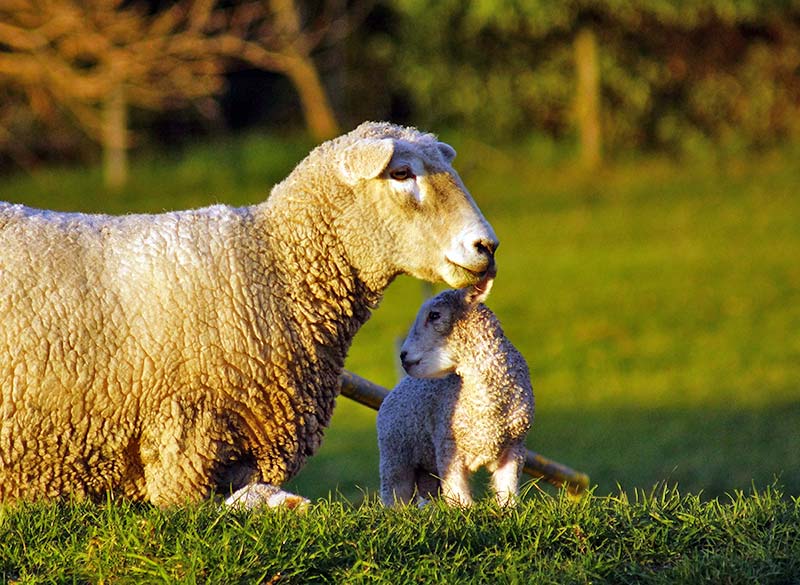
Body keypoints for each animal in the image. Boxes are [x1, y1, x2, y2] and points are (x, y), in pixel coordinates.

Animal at [377, 279, 534, 507]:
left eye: (434, 315)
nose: (403, 356)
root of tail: (397, 386)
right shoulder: (448, 446)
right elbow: (458, 495)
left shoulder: (515, 447)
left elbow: (508, 492)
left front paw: (507, 510)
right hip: (395, 456)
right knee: (395, 495)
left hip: (425, 468)